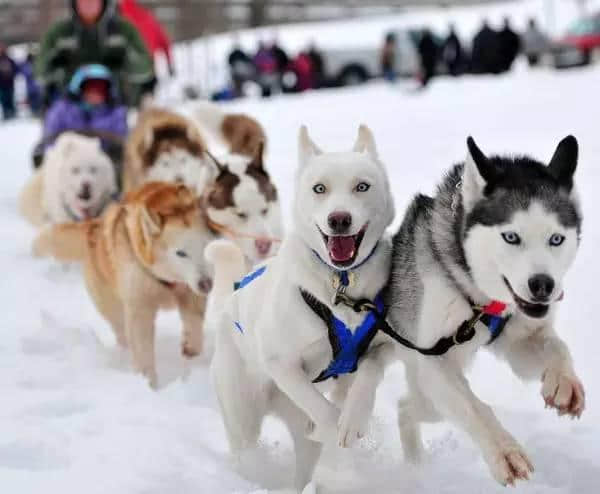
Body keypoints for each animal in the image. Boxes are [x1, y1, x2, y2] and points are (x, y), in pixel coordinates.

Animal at [33, 181, 216, 386]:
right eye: (181, 253)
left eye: (205, 247)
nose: (206, 284)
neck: (167, 281)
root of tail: (95, 227)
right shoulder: (139, 308)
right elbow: (142, 351)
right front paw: (147, 384)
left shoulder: (190, 292)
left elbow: (194, 326)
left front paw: (191, 347)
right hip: (113, 308)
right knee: (122, 334)